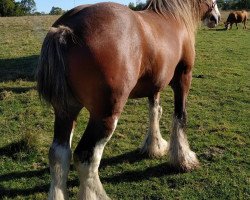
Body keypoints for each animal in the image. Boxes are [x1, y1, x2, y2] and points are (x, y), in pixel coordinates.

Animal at [36, 0, 220, 199]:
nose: (216, 17)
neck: (173, 17)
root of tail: (68, 27)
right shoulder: (183, 78)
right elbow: (180, 116)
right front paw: (184, 159)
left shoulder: (154, 85)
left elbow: (154, 112)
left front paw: (154, 147)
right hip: (105, 115)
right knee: (86, 157)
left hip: (66, 111)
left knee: (59, 154)